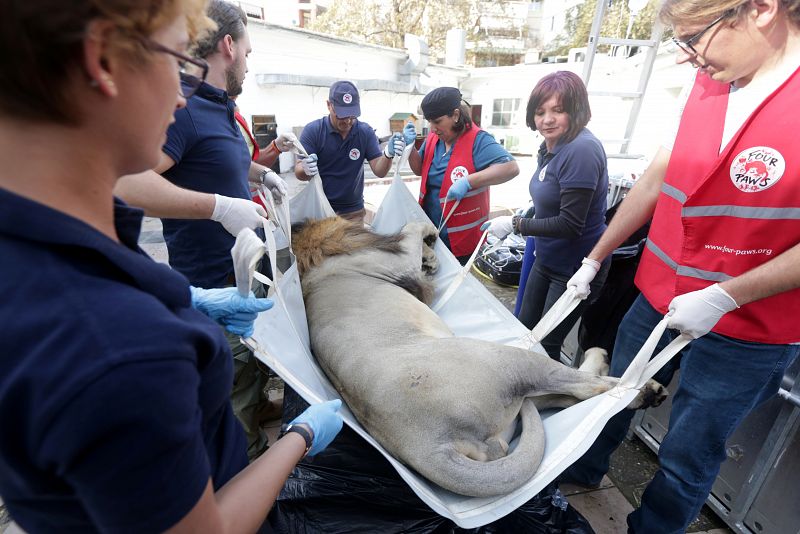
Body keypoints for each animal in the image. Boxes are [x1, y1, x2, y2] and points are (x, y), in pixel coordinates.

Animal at [292, 217, 664, 497]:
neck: (317, 256)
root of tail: (428, 447)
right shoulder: (395, 262)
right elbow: (411, 228)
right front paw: (429, 232)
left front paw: (430, 256)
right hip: (508, 360)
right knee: (587, 387)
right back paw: (640, 385)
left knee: (568, 396)